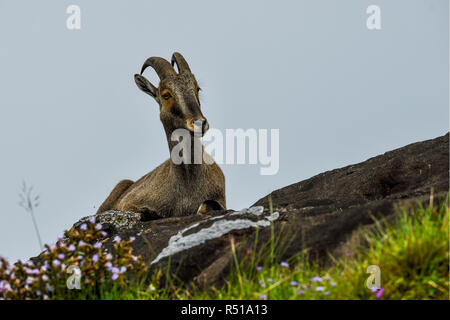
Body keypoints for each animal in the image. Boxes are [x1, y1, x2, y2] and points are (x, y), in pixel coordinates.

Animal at [97, 52, 227, 219]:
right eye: (166, 94)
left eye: (197, 88)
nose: (200, 123)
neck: (187, 186)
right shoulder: (130, 204)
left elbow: (209, 204)